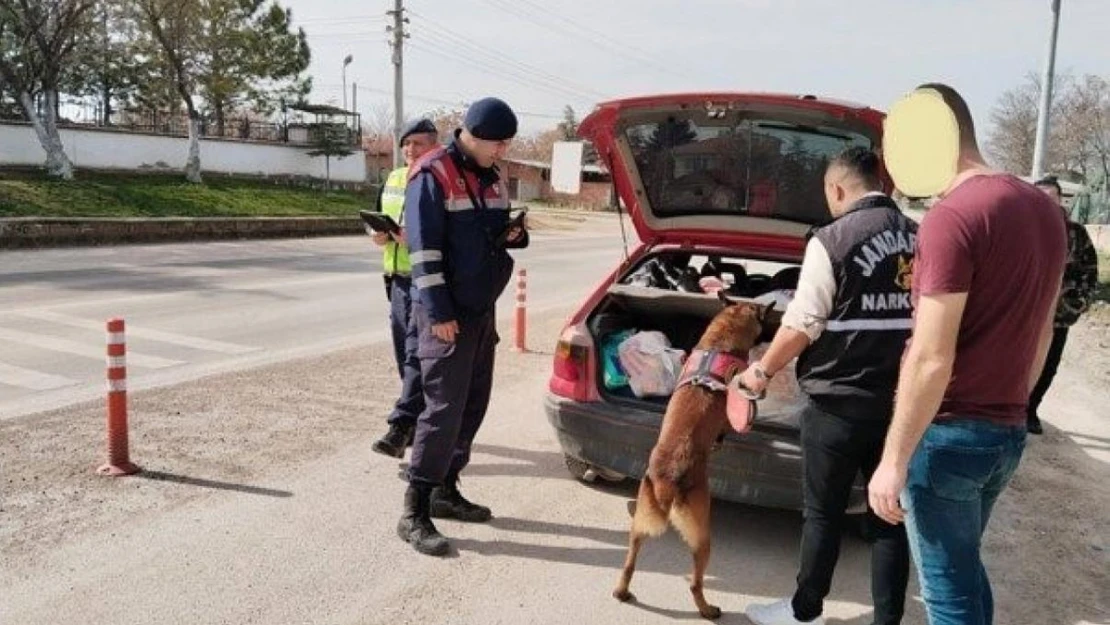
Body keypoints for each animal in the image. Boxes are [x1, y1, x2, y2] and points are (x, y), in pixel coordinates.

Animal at [612, 299, 768, 617]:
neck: (721, 340)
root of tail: (669, 480)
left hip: (639, 522)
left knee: (629, 563)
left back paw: (622, 591)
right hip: (703, 534)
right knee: (695, 583)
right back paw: (708, 610)